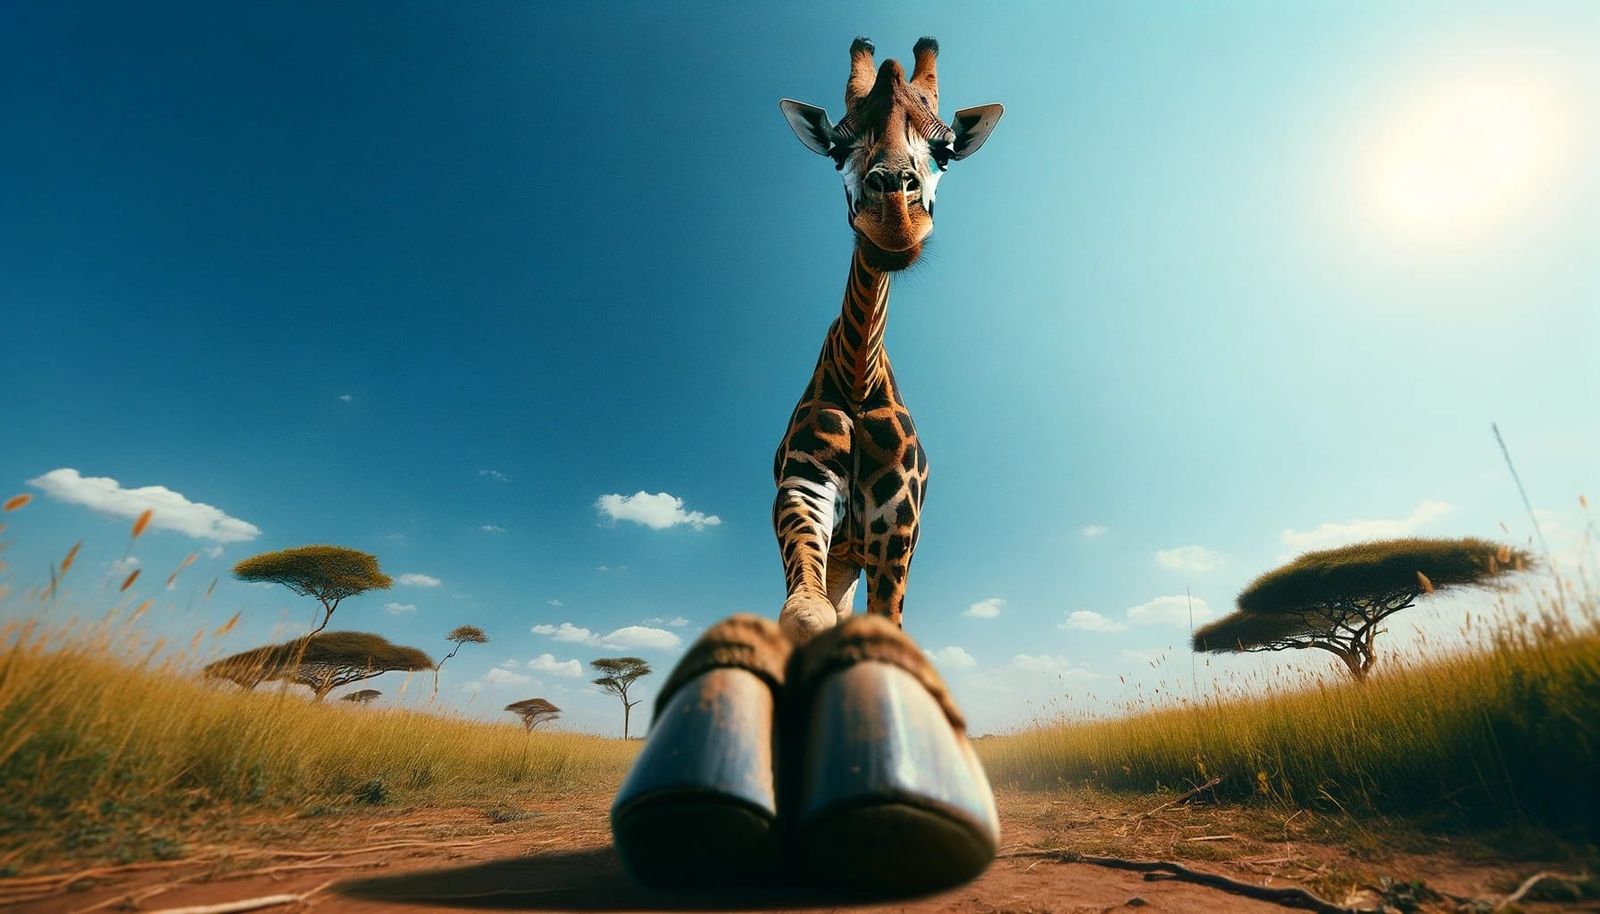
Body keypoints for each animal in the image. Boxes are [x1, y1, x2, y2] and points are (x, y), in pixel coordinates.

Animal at [774, 37, 1002, 641]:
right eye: (835, 149)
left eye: (945, 151)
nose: (895, 221)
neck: (858, 373)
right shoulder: (802, 489)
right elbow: (805, 614)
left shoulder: (896, 528)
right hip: (841, 556)